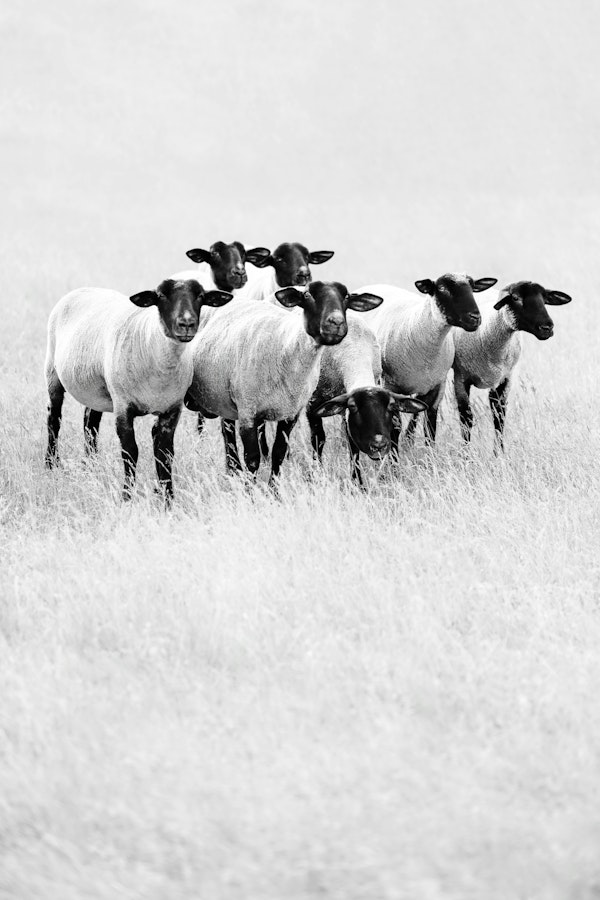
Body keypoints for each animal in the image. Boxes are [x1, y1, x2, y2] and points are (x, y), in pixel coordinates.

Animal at [45, 279, 233, 501]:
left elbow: (165, 454)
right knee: (54, 419)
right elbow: (130, 452)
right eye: (161, 296)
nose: (186, 324)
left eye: (201, 296)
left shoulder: (171, 410)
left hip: (96, 391)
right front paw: (127, 496)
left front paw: (168, 498)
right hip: (52, 372)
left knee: (90, 423)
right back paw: (51, 464)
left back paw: (90, 465)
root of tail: (84, 288)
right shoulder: (123, 407)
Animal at [184, 281, 383, 484]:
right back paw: (233, 470)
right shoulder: (248, 412)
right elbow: (252, 459)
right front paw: (250, 489)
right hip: (226, 398)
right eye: (307, 295)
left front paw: (274, 488)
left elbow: (279, 452)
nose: (336, 322)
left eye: (347, 297)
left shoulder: (290, 414)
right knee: (228, 434)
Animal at [306, 315, 428, 485]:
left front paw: (359, 482)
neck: (353, 350)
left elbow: (352, 444)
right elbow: (318, 439)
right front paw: (315, 474)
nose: (379, 446)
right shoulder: (312, 402)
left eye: (391, 406)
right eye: (353, 406)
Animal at [358, 274, 497, 448]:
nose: (475, 318)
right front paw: (393, 455)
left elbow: (430, 425)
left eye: (472, 287)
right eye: (442, 289)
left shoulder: (437, 386)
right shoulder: (389, 385)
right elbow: (395, 425)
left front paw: (429, 452)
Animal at [452, 280, 572, 448]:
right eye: (515, 298)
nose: (547, 328)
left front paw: (499, 453)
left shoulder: (505, 379)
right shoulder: (460, 378)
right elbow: (466, 419)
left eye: (545, 299)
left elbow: (499, 417)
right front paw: (465, 453)